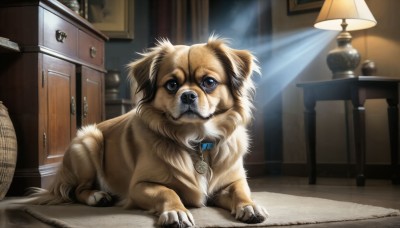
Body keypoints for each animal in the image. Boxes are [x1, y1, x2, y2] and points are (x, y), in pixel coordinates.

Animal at [29, 37, 268, 226]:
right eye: (171, 85)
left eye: (209, 82)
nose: (188, 95)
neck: (195, 140)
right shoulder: (140, 186)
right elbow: (168, 191)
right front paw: (176, 211)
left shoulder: (232, 181)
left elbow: (241, 191)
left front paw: (249, 206)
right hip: (88, 140)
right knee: (78, 190)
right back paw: (97, 196)